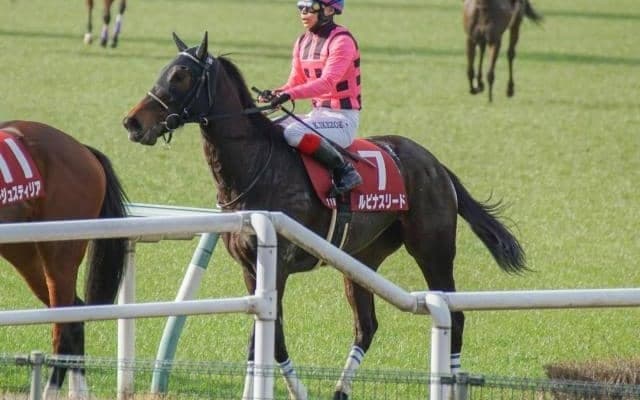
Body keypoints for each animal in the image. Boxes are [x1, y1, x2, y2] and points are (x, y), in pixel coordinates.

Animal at [0, 120, 129, 399]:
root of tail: (84, 150)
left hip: (60, 254)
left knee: (63, 326)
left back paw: (49, 391)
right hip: (24, 253)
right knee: (75, 312)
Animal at [122, 32, 526, 400]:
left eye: (181, 76)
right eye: (165, 70)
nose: (132, 123)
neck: (257, 166)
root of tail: (436, 165)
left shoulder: (278, 266)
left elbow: (269, 341)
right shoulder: (249, 268)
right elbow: (264, 341)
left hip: (433, 252)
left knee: (454, 316)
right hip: (361, 261)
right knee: (367, 326)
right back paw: (340, 389)